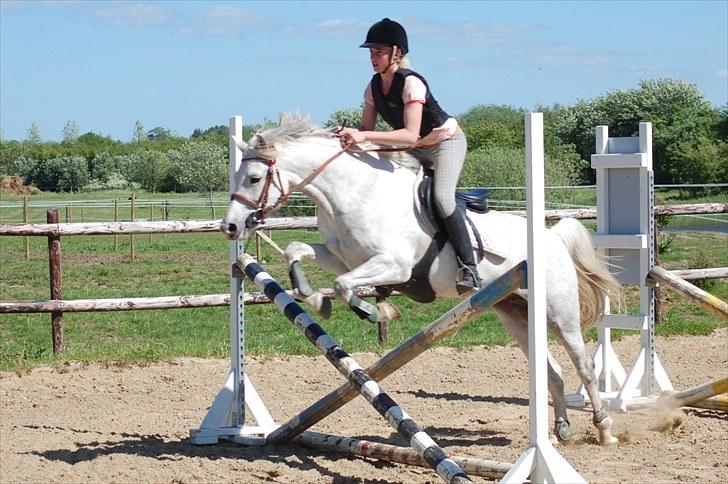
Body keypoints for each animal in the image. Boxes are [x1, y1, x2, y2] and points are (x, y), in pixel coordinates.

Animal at [220, 113, 620, 446]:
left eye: (254, 178)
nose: (231, 227)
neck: (354, 193)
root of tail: (551, 237)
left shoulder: (395, 265)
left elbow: (344, 285)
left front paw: (375, 312)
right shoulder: (341, 257)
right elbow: (296, 250)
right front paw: (314, 298)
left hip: (560, 314)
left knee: (583, 366)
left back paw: (604, 429)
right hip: (515, 313)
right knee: (552, 372)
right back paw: (562, 429)